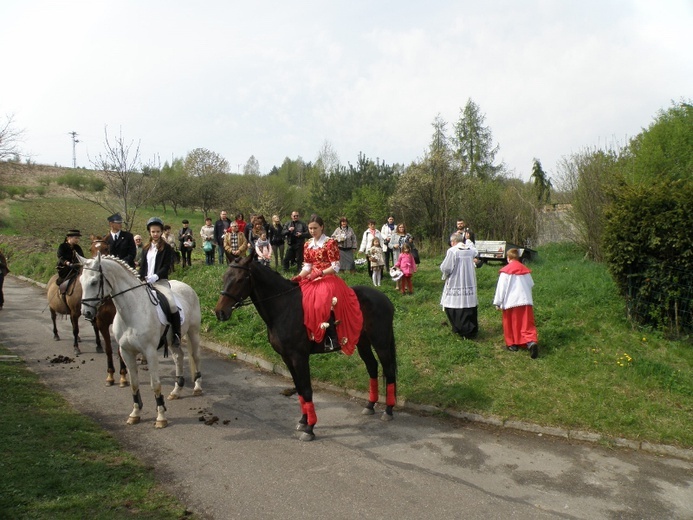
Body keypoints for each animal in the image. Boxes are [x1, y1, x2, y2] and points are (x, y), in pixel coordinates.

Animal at [79, 254, 203, 428]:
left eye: (94, 282)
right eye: (80, 281)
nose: (86, 313)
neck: (132, 310)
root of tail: (186, 286)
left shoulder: (150, 352)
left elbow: (155, 384)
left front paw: (161, 417)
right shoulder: (126, 352)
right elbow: (134, 384)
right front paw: (135, 414)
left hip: (193, 332)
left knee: (195, 357)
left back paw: (197, 387)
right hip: (172, 340)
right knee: (178, 357)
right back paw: (176, 391)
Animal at [214, 254, 398, 440]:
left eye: (240, 279)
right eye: (224, 277)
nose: (220, 312)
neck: (283, 307)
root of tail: (385, 299)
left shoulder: (299, 357)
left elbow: (307, 389)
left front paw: (310, 428)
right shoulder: (287, 358)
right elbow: (300, 388)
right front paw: (303, 421)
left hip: (381, 343)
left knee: (388, 370)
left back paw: (388, 410)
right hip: (363, 342)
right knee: (372, 367)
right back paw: (370, 405)